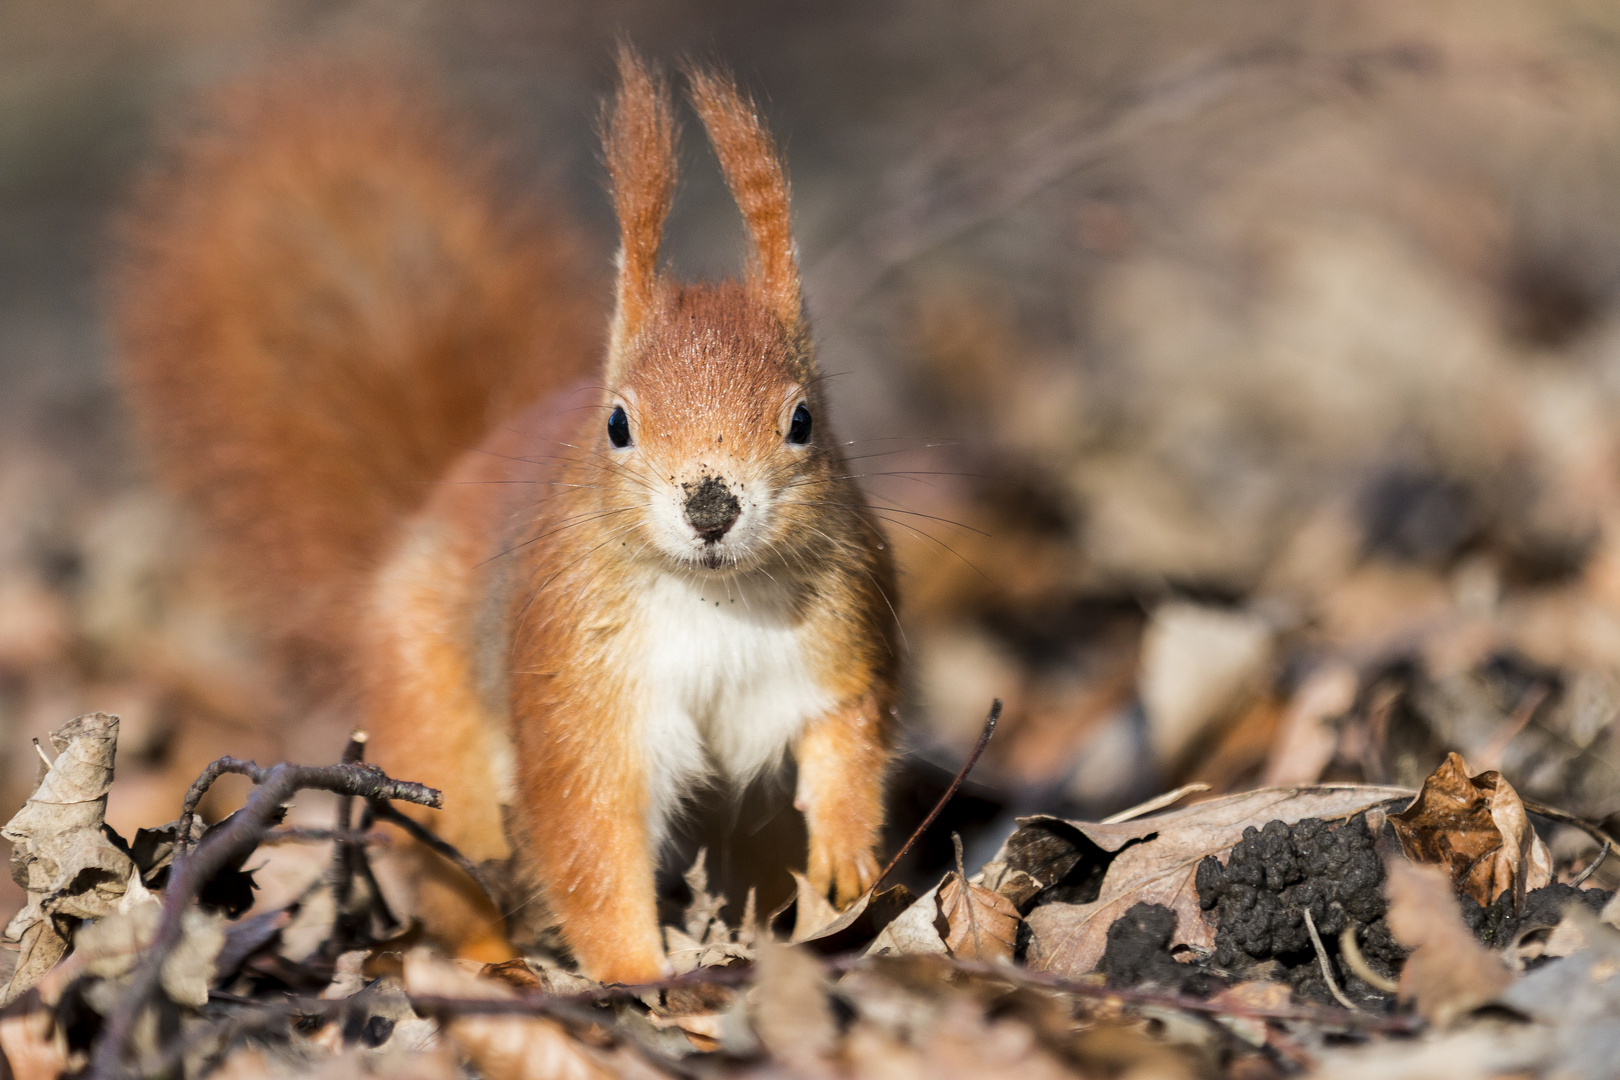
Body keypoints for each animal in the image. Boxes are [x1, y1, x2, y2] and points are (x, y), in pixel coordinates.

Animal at [114, 48, 900, 977]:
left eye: (803, 420)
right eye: (617, 424)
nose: (711, 508)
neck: (716, 595)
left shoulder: (840, 635)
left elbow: (848, 736)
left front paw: (847, 859)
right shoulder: (579, 685)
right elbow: (589, 829)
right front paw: (636, 973)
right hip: (438, 743)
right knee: (459, 870)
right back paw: (495, 962)